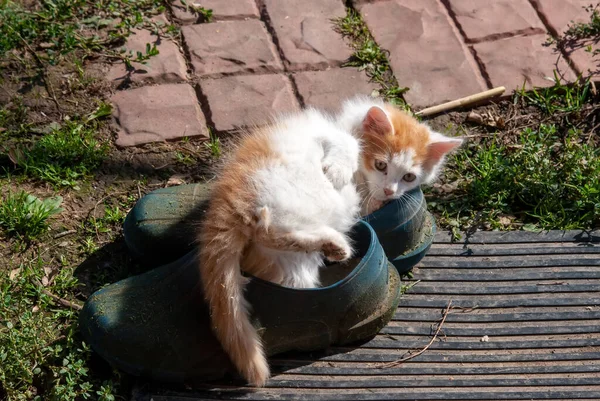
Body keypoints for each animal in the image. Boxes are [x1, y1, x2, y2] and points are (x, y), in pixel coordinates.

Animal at [199, 108, 364, 386]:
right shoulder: (320, 130)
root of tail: (227, 205)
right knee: (266, 230)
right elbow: (348, 144)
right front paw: (338, 172)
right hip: (279, 191)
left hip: (295, 268)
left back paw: (333, 246)